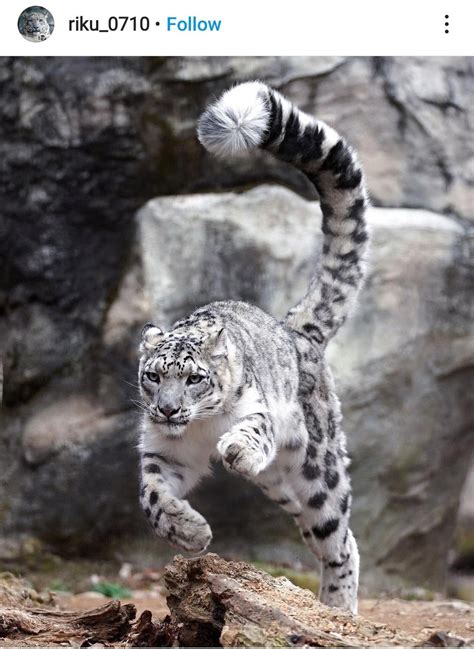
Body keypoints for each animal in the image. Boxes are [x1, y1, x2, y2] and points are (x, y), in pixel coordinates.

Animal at [137, 81, 369, 614]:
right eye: (153, 375)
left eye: (194, 377)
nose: (168, 410)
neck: (197, 432)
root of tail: (295, 329)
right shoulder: (163, 452)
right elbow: (152, 497)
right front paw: (190, 532)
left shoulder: (257, 410)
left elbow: (252, 429)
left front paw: (236, 449)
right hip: (282, 486)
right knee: (322, 533)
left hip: (318, 467)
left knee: (341, 537)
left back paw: (338, 609)